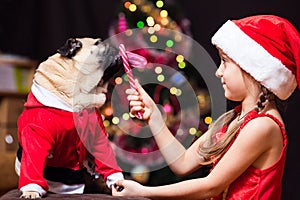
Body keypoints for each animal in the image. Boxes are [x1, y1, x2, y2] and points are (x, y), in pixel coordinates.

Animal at [15, 37, 146, 198]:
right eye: (98, 43)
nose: (114, 44)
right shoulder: (36, 135)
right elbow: (33, 164)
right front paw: (31, 190)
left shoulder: (99, 139)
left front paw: (117, 183)